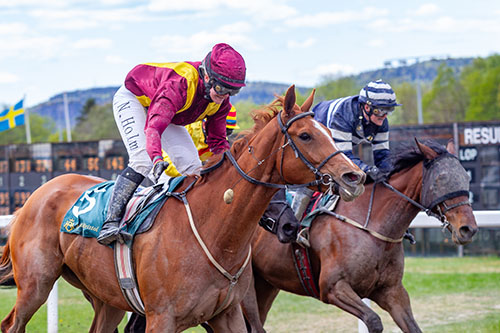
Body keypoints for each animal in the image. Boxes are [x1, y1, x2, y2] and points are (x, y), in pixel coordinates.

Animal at [0, 85, 364, 332]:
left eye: (328, 131)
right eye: (305, 136)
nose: (354, 176)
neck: (214, 230)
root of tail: (38, 193)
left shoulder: (227, 314)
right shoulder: (161, 318)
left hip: (105, 298)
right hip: (35, 284)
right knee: (12, 324)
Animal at [241, 139, 476, 332]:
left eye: (465, 176)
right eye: (441, 178)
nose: (468, 229)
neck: (371, 226)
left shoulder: (391, 291)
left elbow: (412, 327)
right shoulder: (333, 288)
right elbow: (373, 321)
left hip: (267, 284)